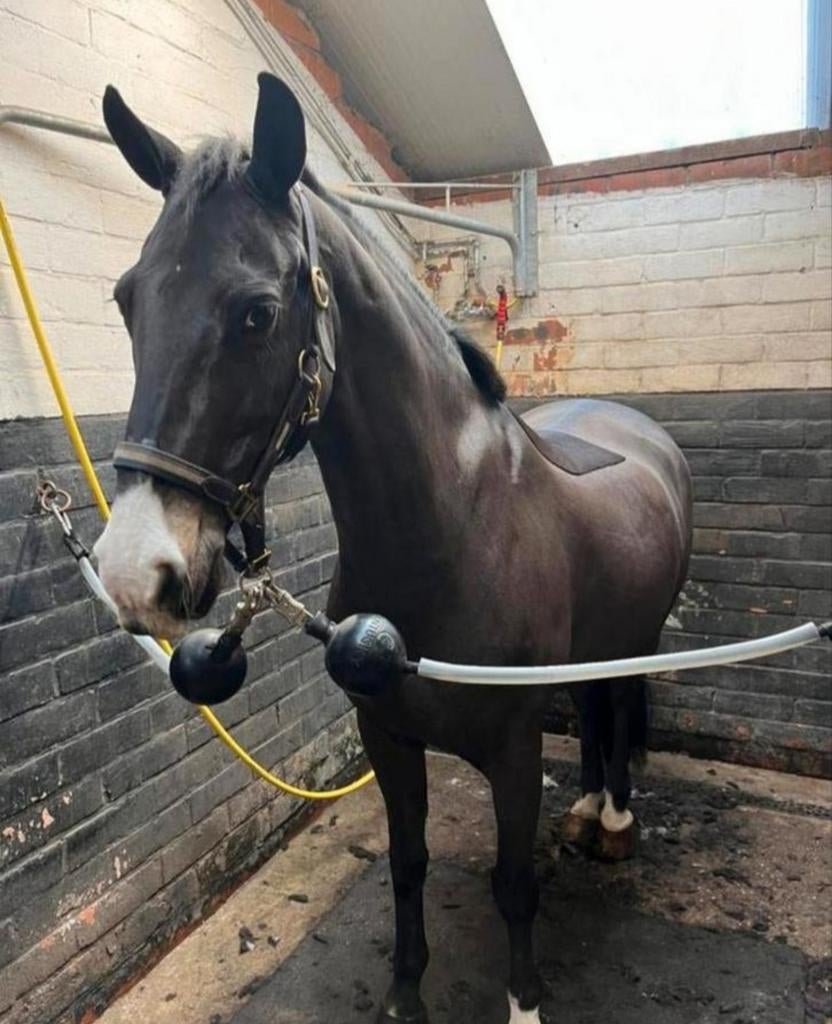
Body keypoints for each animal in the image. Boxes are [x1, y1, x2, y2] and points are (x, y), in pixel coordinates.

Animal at [93, 74, 692, 1024]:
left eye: (258, 313)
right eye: (127, 298)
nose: (134, 570)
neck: (452, 531)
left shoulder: (515, 750)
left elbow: (513, 883)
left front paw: (524, 1002)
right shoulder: (387, 738)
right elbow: (407, 867)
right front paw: (405, 996)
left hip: (636, 640)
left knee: (619, 704)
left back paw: (615, 822)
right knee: (598, 711)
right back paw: (590, 810)